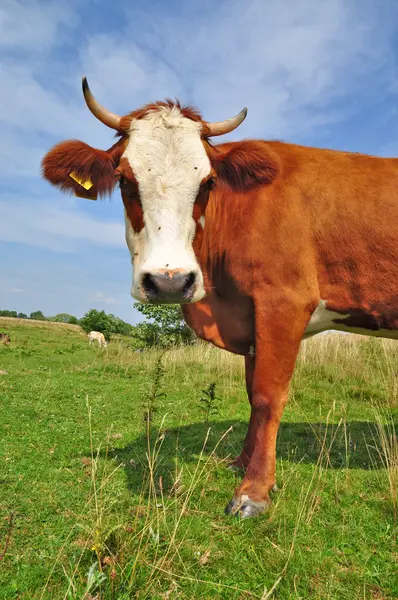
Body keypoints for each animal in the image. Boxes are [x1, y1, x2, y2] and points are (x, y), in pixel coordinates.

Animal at [41, 77, 398, 516]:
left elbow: (267, 395)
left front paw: (254, 490)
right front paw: (242, 462)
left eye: (208, 182)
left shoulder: (284, 302)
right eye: (124, 179)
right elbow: (251, 393)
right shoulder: (251, 316)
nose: (170, 281)